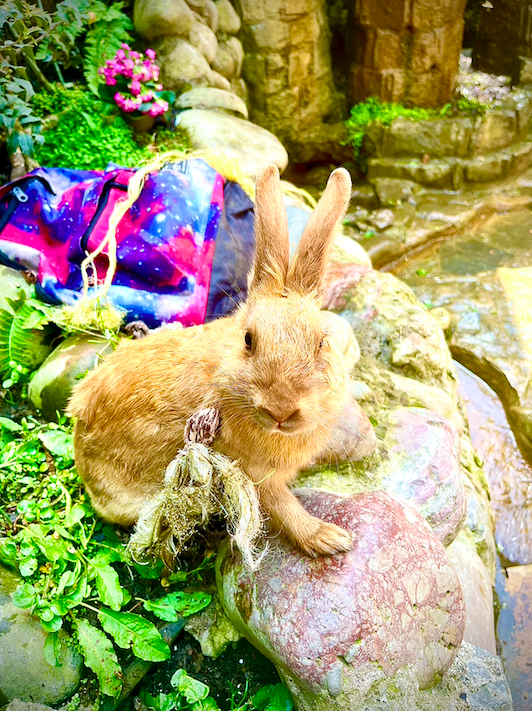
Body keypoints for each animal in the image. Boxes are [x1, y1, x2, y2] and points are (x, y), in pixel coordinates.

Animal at [68, 164, 361, 558]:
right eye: (249, 340)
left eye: (321, 343)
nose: (281, 410)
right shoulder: (255, 475)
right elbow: (284, 508)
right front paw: (330, 539)